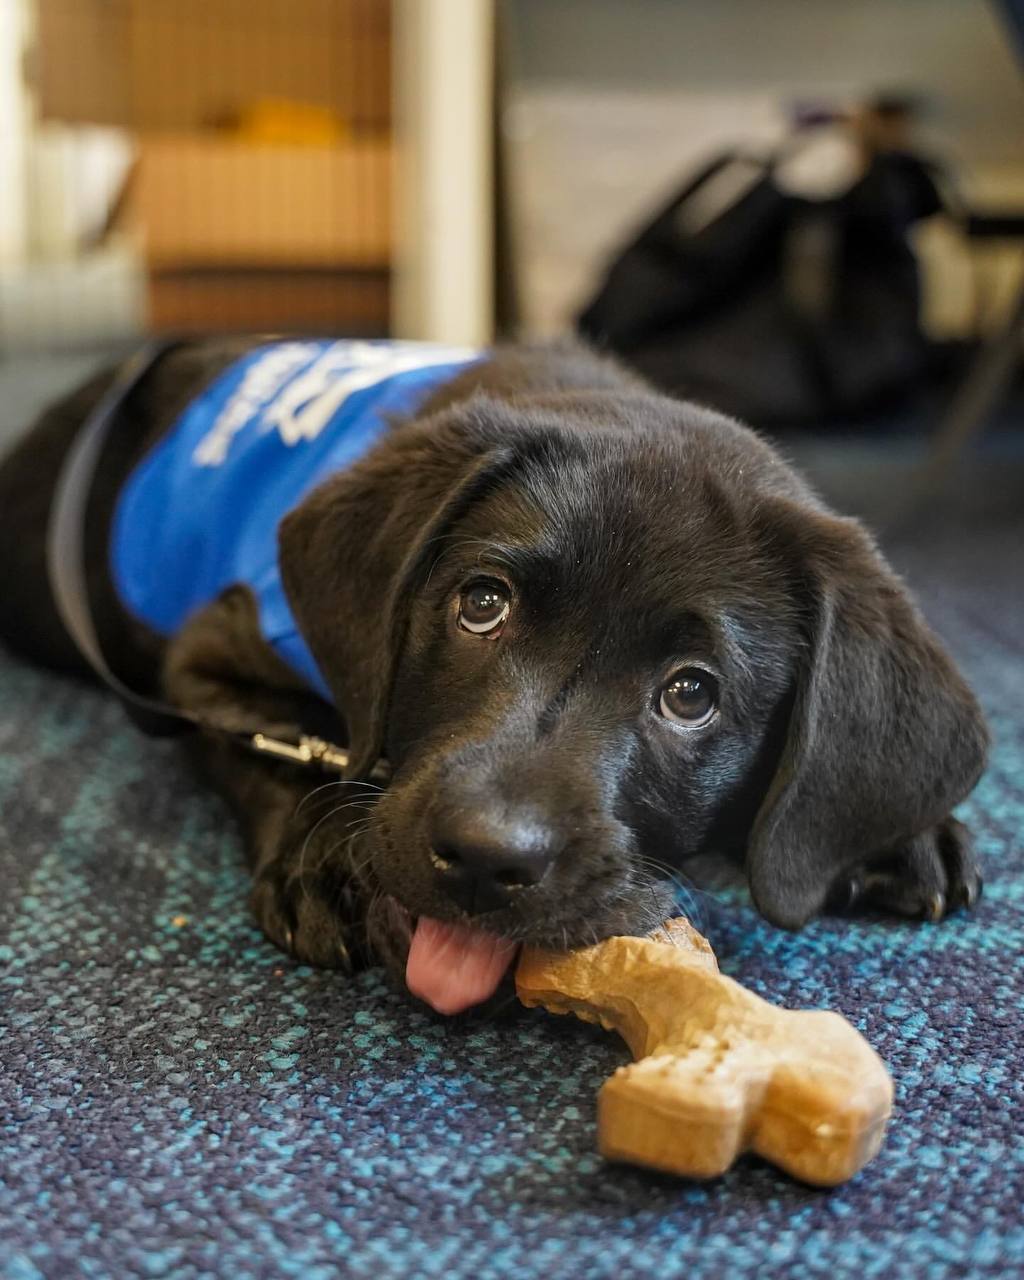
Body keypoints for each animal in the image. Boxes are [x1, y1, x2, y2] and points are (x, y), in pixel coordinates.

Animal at [0, 337, 993, 1008]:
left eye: (691, 694)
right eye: (481, 604)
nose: (483, 857)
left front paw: (904, 836)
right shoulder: (207, 654)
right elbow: (276, 746)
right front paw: (325, 861)